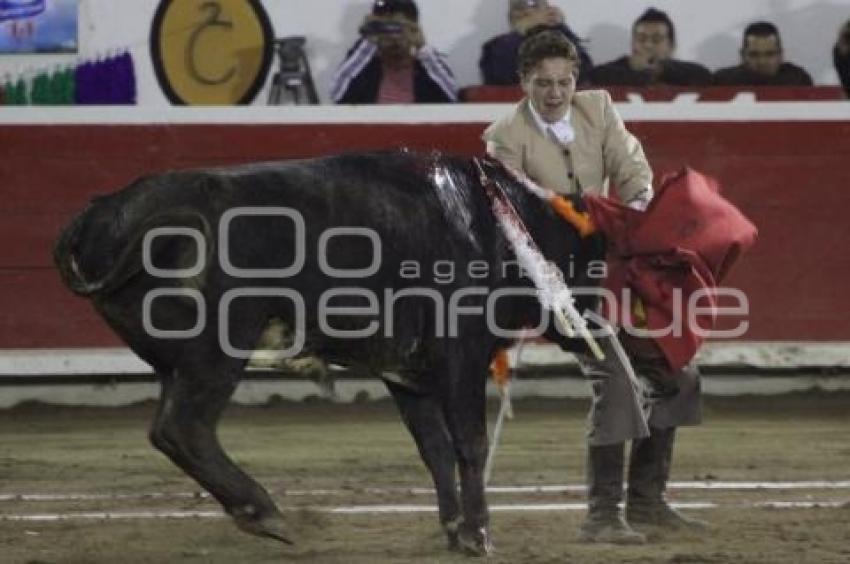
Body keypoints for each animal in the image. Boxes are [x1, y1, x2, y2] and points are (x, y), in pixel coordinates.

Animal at [53, 151, 604, 556]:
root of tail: (105, 212)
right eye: (597, 263)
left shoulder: (406, 373)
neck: (495, 223)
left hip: (176, 363)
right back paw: (265, 513)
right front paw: (478, 535)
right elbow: (470, 442)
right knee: (182, 427)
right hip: (214, 355)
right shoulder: (460, 358)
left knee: (174, 430)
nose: (601, 332)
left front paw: (452, 530)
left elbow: (434, 447)